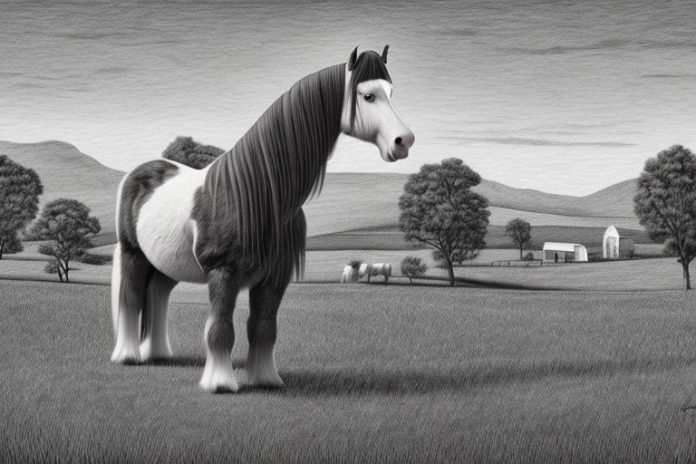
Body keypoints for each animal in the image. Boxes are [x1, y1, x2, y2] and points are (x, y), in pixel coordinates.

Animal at [110, 46, 414, 393]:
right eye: (367, 96)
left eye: (391, 92)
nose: (404, 141)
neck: (257, 193)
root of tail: (140, 172)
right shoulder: (223, 272)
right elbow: (221, 329)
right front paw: (219, 384)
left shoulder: (274, 277)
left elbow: (264, 327)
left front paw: (266, 379)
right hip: (134, 254)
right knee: (132, 299)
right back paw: (128, 356)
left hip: (166, 264)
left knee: (157, 295)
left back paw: (158, 354)